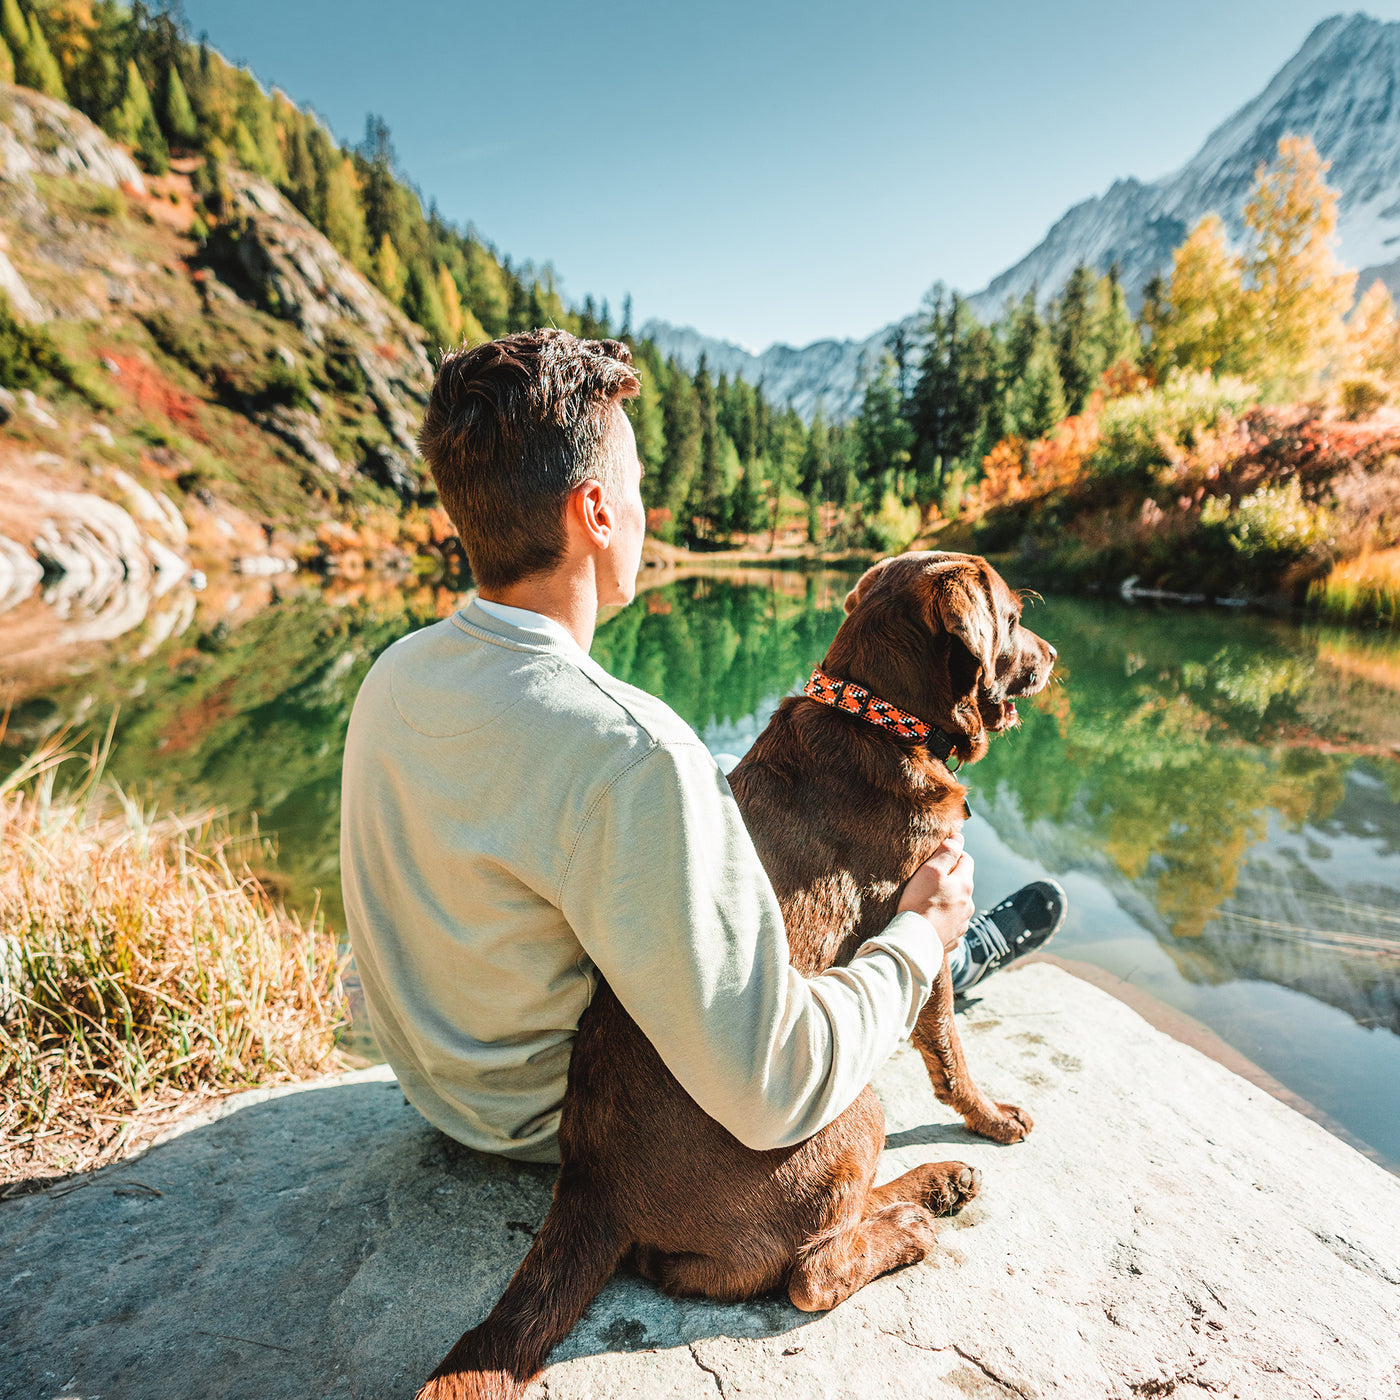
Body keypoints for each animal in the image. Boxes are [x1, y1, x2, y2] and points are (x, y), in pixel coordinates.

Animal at [420, 551, 1052, 1394]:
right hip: (853, 1106)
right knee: (810, 1271)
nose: (1053, 656)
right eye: (1014, 618)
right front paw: (991, 1118)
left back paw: (935, 1187)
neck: (876, 714)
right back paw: (912, 1225)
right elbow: (951, 1053)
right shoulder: (931, 928)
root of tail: (591, 1185)